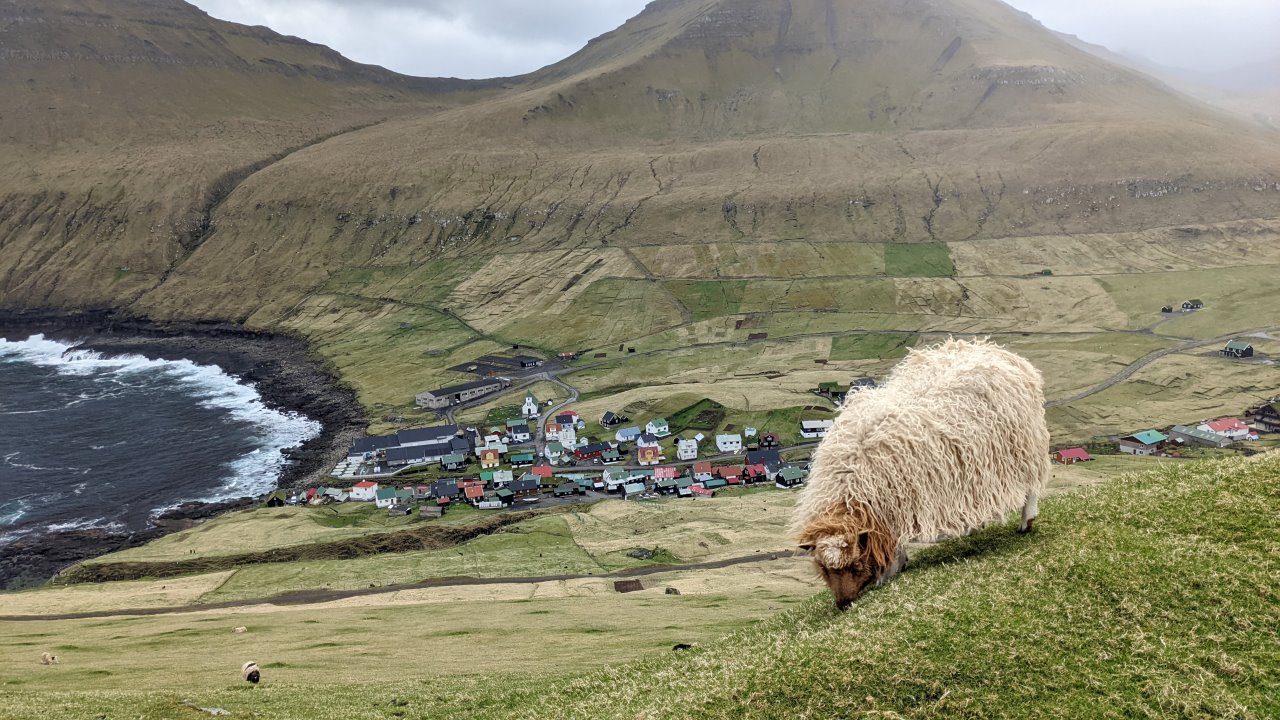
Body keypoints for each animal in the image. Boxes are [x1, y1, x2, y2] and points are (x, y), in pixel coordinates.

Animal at [788, 335, 1049, 604]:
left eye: (855, 564)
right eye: (823, 568)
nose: (843, 604)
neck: (851, 479)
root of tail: (996, 350)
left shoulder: (894, 503)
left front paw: (890, 571)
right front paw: (899, 565)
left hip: (1024, 448)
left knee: (1031, 488)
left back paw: (1026, 522)